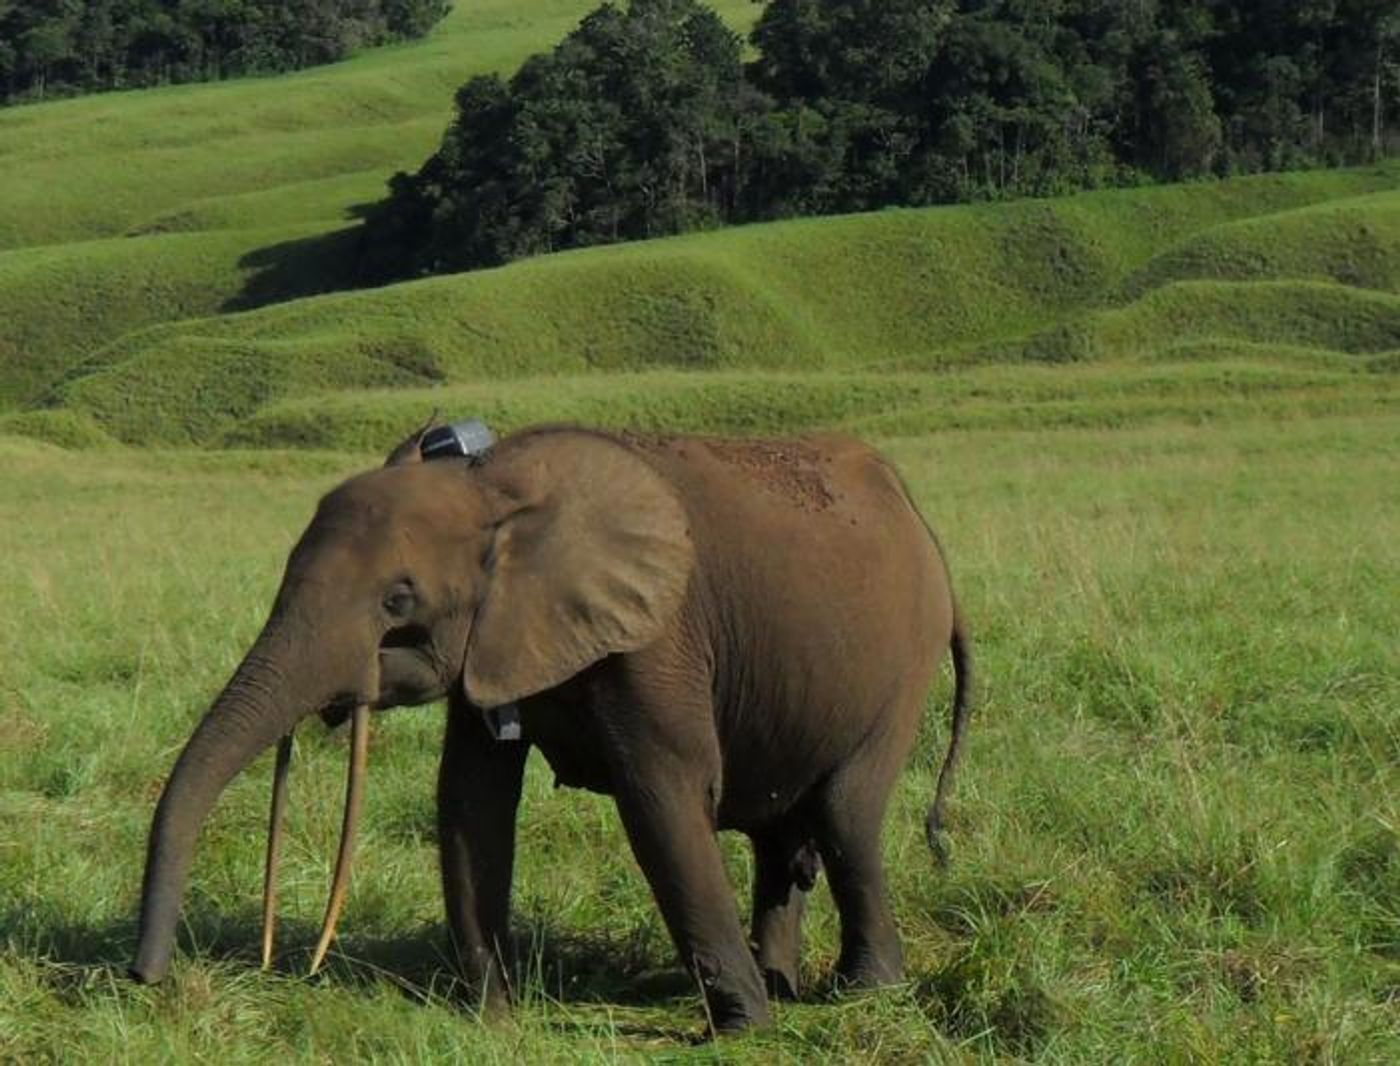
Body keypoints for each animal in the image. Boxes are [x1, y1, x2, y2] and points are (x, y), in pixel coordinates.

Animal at [131, 417, 974, 1030]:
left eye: (398, 600)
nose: (147, 977)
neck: (492, 490)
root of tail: (919, 519)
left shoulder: (655, 637)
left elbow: (665, 800)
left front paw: (741, 1031)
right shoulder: (496, 637)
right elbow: (470, 802)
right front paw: (494, 1019)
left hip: (905, 660)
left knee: (845, 815)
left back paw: (861, 993)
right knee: (782, 835)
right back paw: (784, 980)